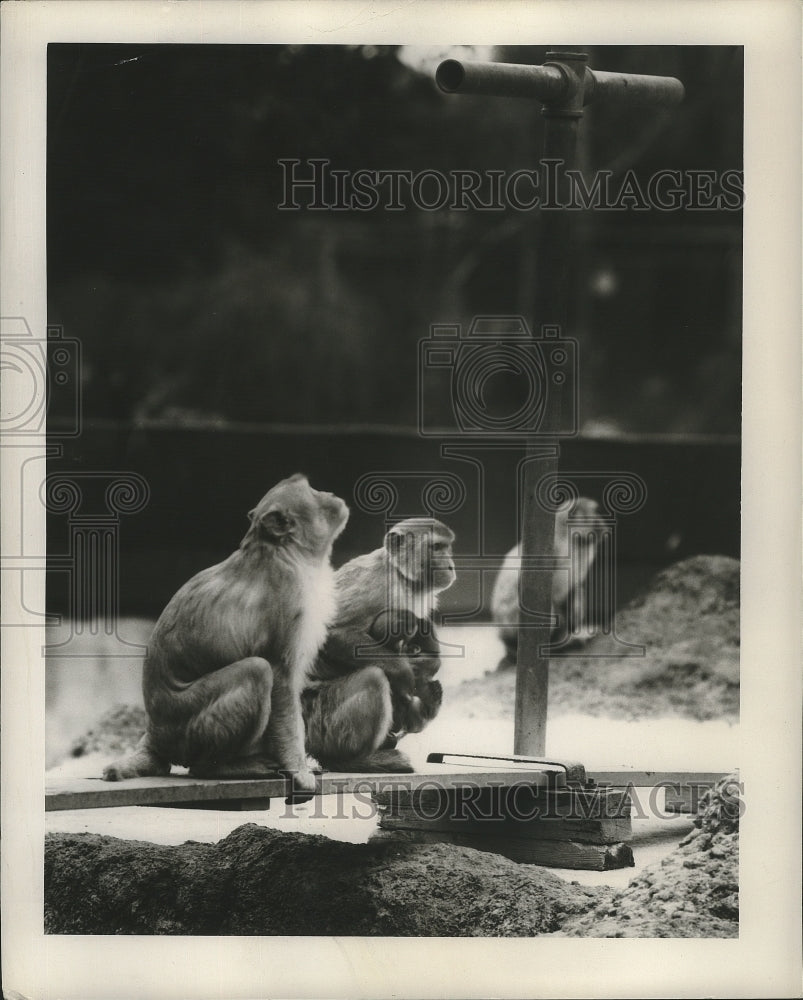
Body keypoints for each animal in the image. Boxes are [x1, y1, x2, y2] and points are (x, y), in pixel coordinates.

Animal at [102, 474, 349, 792]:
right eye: (313, 492)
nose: (330, 493)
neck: (285, 552)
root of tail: (153, 734)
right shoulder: (290, 602)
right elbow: (280, 679)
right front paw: (298, 769)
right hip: (187, 730)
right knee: (257, 671)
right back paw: (219, 767)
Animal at [302, 517, 456, 773]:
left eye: (448, 547)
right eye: (436, 548)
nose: (451, 566)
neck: (400, 577)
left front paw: (424, 663)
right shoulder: (373, 583)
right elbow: (332, 632)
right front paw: (404, 671)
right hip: (320, 722)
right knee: (373, 678)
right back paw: (350, 761)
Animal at [490, 496, 604, 668]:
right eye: (596, 512)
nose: (603, 522)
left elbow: (572, 589)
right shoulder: (553, 547)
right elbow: (528, 588)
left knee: (576, 592)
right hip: (510, 625)